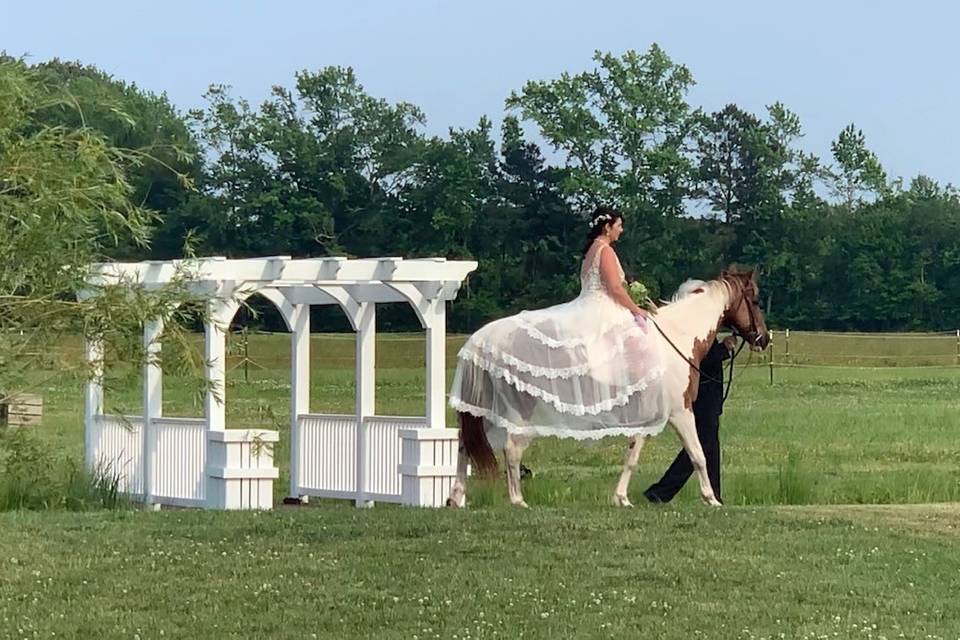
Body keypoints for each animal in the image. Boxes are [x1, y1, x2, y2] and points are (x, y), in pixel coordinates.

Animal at [448, 268, 772, 508]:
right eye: (755, 300)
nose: (764, 338)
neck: (675, 338)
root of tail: (483, 338)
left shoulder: (649, 417)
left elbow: (632, 457)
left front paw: (621, 498)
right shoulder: (680, 412)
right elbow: (698, 454)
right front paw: (711, 499)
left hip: (483, 410)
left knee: (465, 445)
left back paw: (456, 498)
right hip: (519, 410)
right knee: (511, 449)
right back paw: (517, 500)